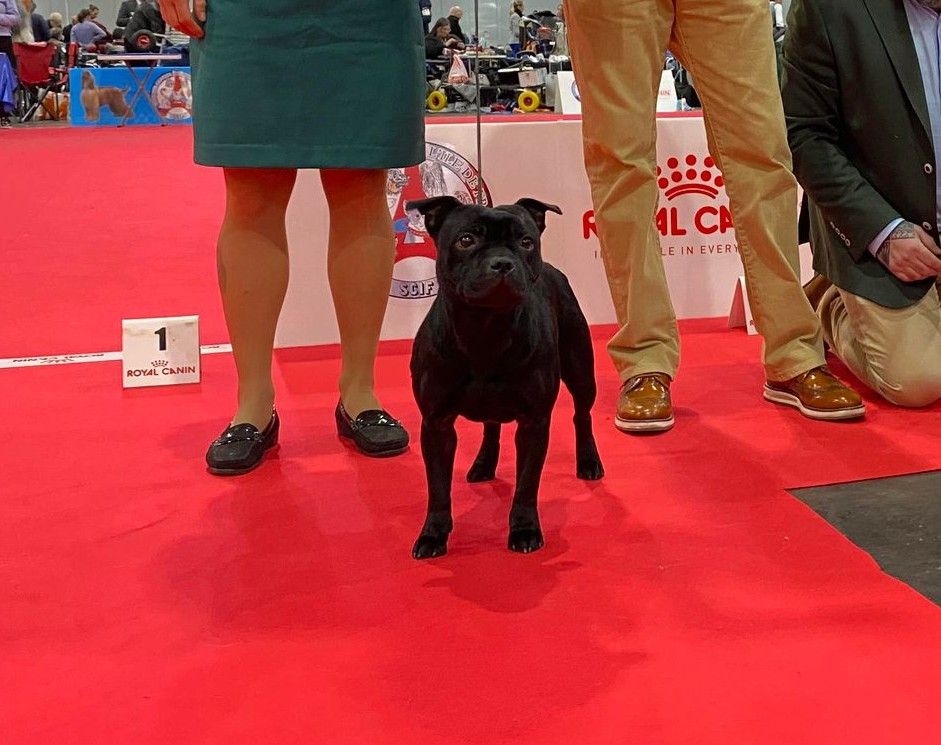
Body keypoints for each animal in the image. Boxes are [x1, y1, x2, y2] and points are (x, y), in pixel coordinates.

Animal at [406, 196, 604, 559]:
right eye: (466, 240)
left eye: (526, 242)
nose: (502, 263)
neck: (485, 328)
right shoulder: (436, 424)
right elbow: (438, 488)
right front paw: (433, 534)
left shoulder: (534, 422)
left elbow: (527, 483)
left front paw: (525, 529)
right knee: (491, 425)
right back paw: (484, 464)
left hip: (581, 370)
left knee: (582, 415)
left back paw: (588, 461)